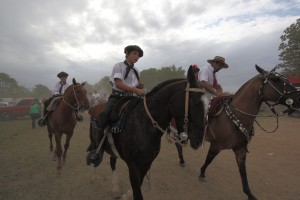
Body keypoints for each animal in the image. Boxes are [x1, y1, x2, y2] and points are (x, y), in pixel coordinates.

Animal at [88, 66, 207, 200]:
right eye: (196, 103)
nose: (199, 141)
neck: (143, 124)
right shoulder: (133, 165)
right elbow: (137, 192)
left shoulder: (147, 162)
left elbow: (138, 185)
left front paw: (126, 195)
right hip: (95, 142)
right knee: (95, 153)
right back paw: (94, 174)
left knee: (112, 162)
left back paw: (115, 190)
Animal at [175, 65, 300, 199]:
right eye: (275, 79)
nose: (298, 98)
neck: (234, 117)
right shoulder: (216, 146)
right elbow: (208, 160)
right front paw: (202, 173)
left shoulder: (240, 149)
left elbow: (243, 172)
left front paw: (249, 194)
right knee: (177, 144)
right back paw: (181, 160)